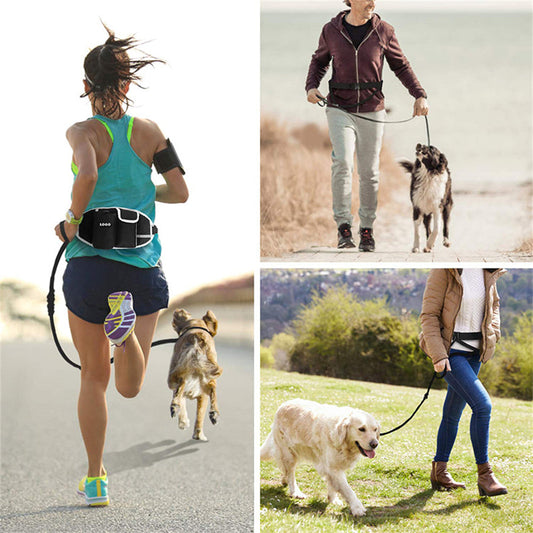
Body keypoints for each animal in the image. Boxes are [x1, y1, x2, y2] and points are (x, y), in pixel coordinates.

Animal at [168, 308, 222, 440]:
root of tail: (197, 336)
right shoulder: (203, 394)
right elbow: (200, 415)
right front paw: (198, 434)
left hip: (173, 376)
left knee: (181, 384)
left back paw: (175, 407)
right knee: (211, 387)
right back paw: (214, 413)